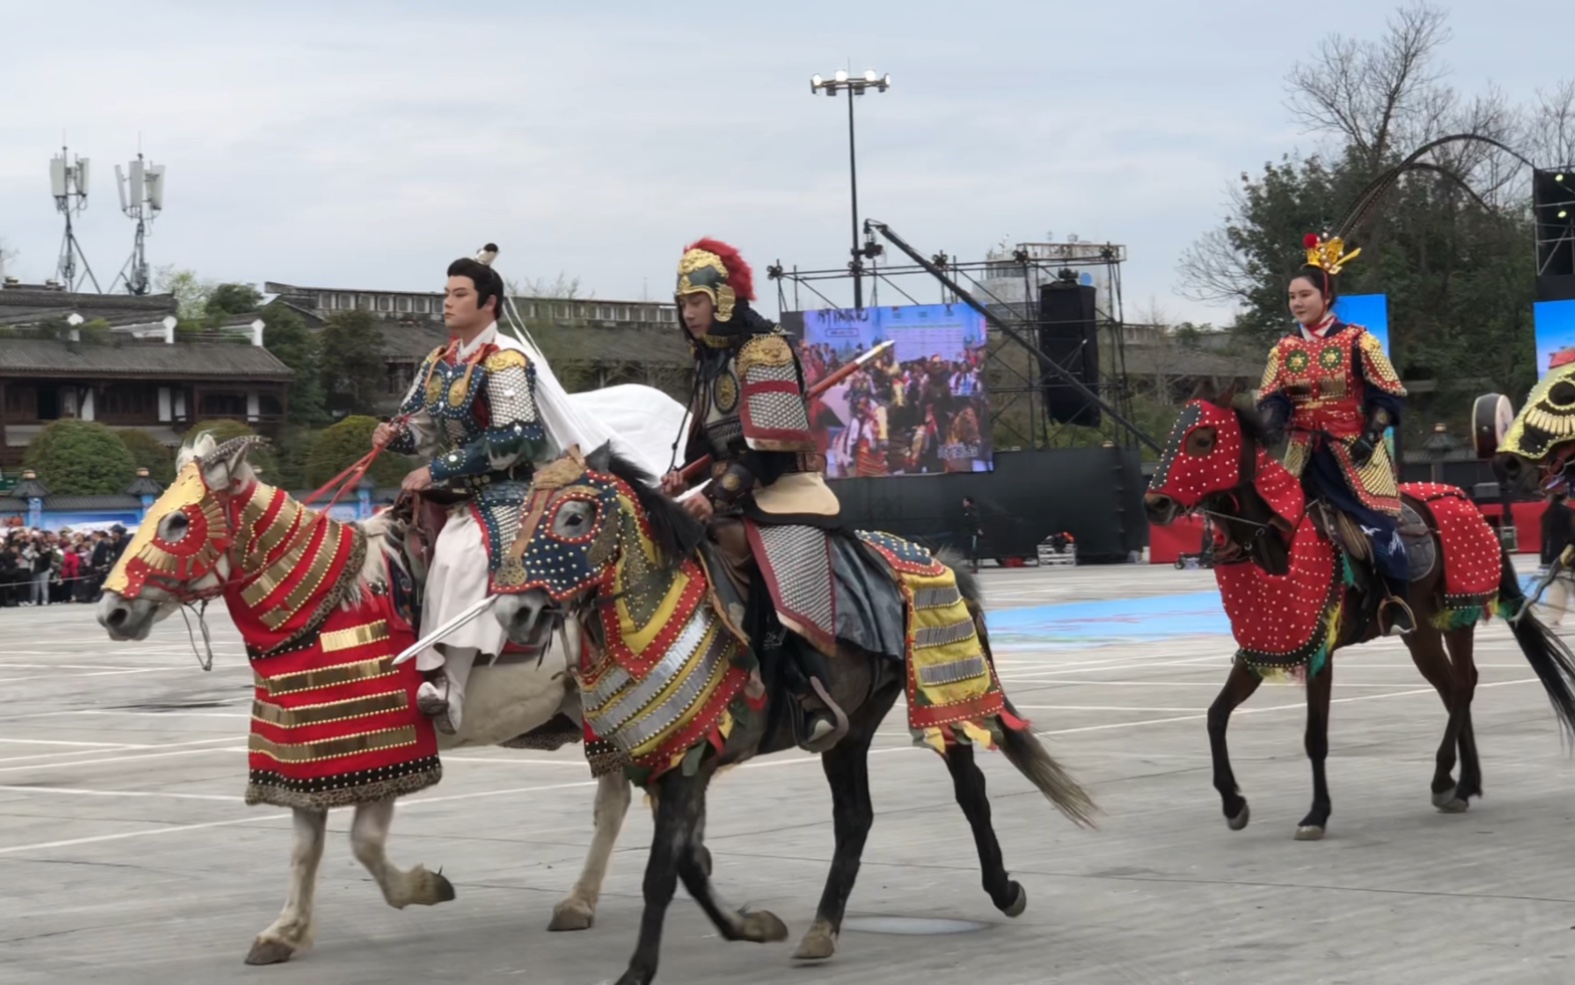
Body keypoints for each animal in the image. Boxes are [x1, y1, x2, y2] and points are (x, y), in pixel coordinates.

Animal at [1146, 392, 1575, 838]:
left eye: (1203, 439)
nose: (1155, 504)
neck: (1277, 539)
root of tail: (1465, 502)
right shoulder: (1263, 648)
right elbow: (1215, 716)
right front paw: (1233, 803)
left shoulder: (1320, 652)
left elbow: (1315, 736)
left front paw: (1316, 813)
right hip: (1421, 631)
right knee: (1451, 686)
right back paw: (1464, 784)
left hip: (1460, 612)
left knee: (1463, 684)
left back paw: (1445, 780)